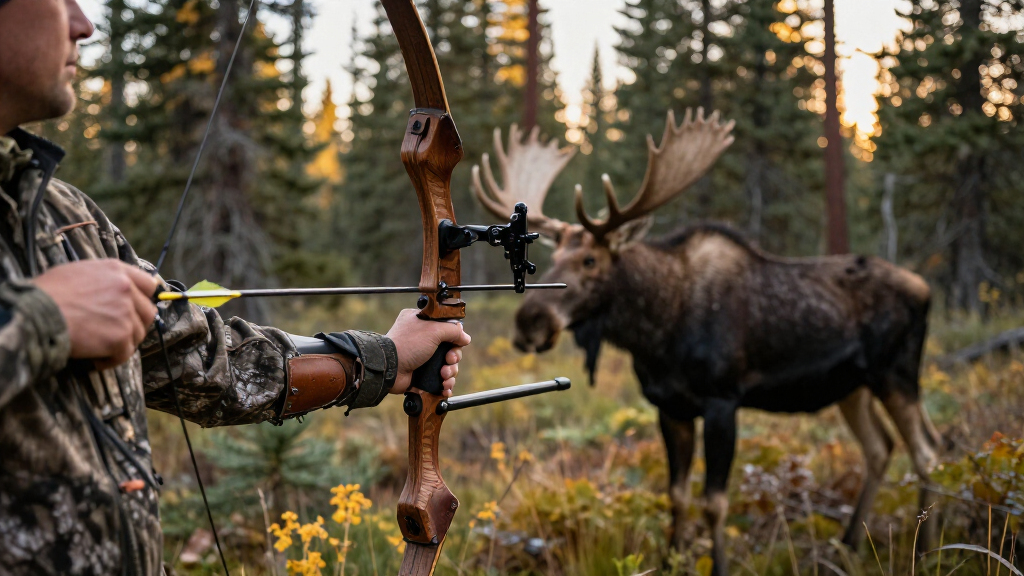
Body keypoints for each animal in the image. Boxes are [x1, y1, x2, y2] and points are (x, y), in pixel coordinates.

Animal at [471, 109, 945, 576]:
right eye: (552, 257)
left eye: (590, 260)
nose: (529, 323)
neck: (657, 334)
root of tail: (926, 289)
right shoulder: (670, 407)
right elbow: (676, 495)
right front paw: (667, 560)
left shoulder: (722, 400)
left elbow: (714, 502)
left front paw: (717, 566)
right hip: (852, 387)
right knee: (880, 449)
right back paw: (848, 545)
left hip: (896, 373)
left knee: (927, 452)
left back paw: (926, 551)